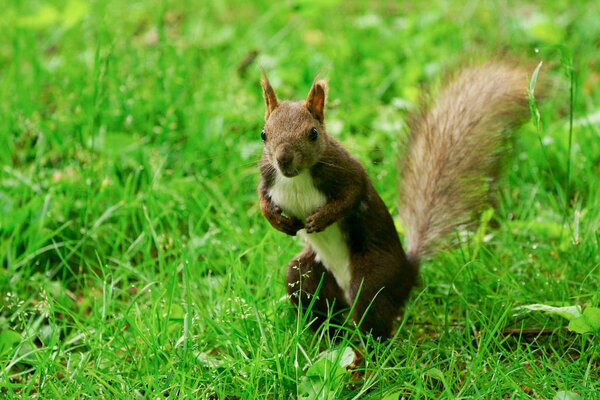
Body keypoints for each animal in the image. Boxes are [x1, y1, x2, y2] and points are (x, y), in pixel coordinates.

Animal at [256, 64, 528, 340]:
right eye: (264, 134)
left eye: (312, 133)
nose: (283, 160)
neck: (297, 178)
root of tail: (407, 274)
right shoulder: (267, 176)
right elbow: (262, 200)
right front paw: (277, 220)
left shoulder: (350, 172)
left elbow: (352, 195)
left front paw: (322, 218)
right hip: (305, 275)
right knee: (319, 306)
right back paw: (325, 339)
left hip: (372, 279)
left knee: (372, 316)